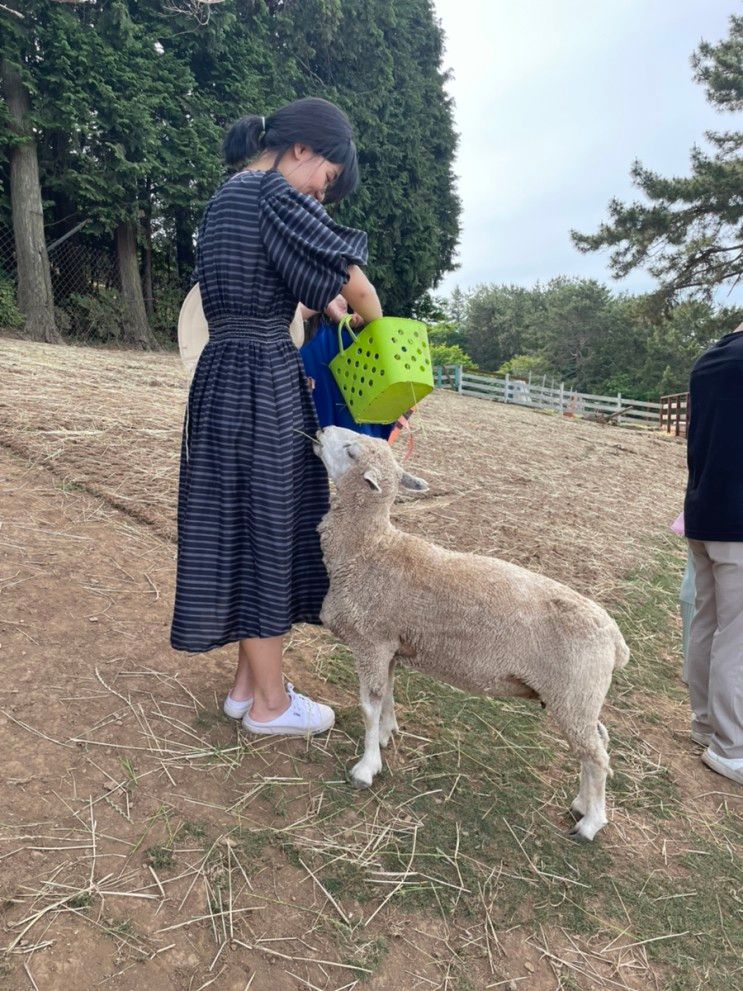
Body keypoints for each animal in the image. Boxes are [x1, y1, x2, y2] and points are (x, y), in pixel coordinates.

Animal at [310, 426, 632, 844]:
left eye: (350, 451)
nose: (321, 430)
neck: (368, 548)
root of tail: (615, 640)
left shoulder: (371, 641)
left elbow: (369, 706)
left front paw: (367, 767)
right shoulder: (390, 644)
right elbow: (389, 695)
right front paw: (386, 735)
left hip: (574, 693)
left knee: (596, 755)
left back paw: (592, 822)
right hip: (579, 697)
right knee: (598, 741)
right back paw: (581, 803)